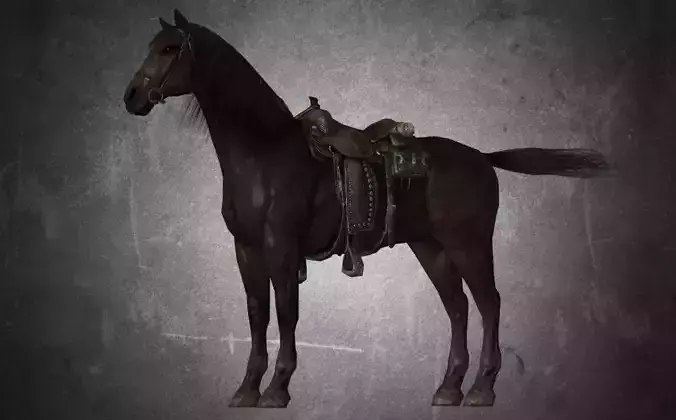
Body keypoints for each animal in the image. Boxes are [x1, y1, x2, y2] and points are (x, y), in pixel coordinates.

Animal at [122, 9, 611, 409]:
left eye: (169, 48)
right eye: (150, 46)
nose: (131, 96)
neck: (263, 155)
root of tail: (483, 158)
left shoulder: (280, 248)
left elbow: (286, 312)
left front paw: (278, 389)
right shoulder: (246, 251)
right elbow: (257, 313)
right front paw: (246, 390)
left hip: (468, 244)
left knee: (488, 302)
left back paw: (482, 389)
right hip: (431, 248)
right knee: (457, 307)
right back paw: (448, 388)